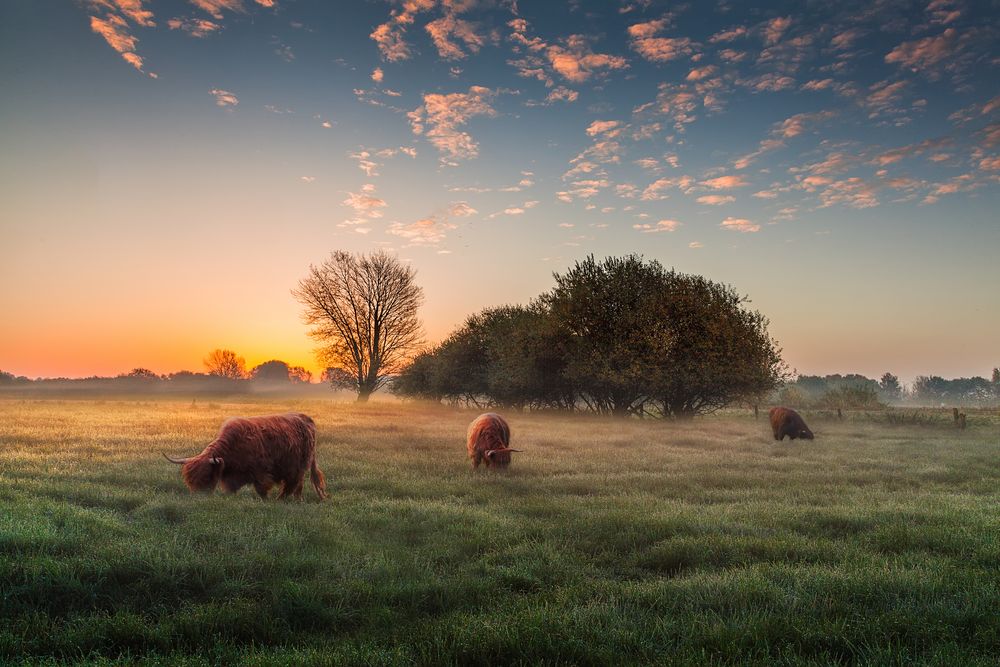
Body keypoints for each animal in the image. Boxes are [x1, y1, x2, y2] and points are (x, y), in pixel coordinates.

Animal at [164, 412, 328, 500]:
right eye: (190, 481)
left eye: (206, 477)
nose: (198, 497)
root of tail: (304, 418)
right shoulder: (231, 477)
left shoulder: (261, 473)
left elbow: (262, 490)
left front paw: (267, 502)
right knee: (297, 485)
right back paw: (297, 500)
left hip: (299, 466)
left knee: (293, 483)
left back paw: (281, 499)